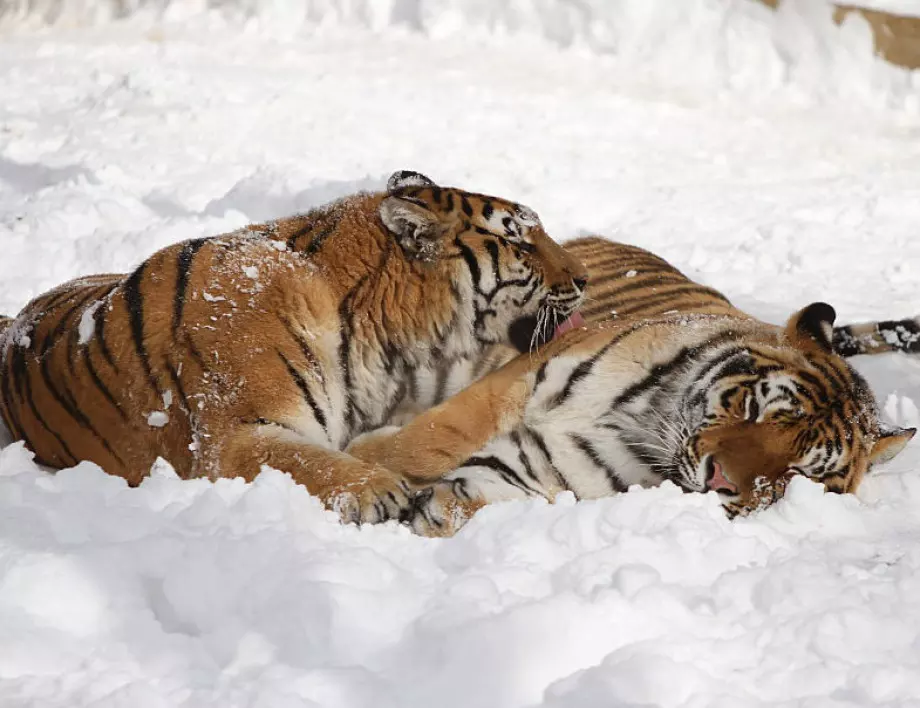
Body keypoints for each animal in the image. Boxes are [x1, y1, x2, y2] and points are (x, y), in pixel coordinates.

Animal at [350, 235, 912, 532]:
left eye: (798, 472)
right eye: (755, 408)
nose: (720, 481)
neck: (641, 420)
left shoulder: (549, 470)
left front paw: (432, 512)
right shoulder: (515, 381)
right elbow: (427, 442)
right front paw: (367, 468)